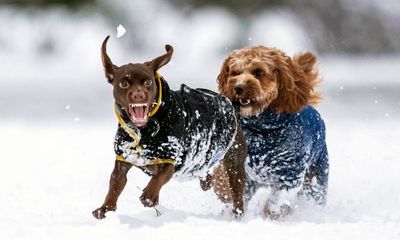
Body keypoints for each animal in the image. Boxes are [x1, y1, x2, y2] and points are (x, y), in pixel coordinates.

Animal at [92, 36, 247, 219]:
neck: (144, 131)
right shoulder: (123, 159)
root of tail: (230, 104)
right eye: (123, 83)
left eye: (148, 82)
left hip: (234, 164)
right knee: (206, 177)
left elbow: (158, 178)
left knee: (237, 195)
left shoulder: (171, 159)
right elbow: (115, 184)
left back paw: (237, 214)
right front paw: (105, 209)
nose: (138, 95)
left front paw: (149, 196)